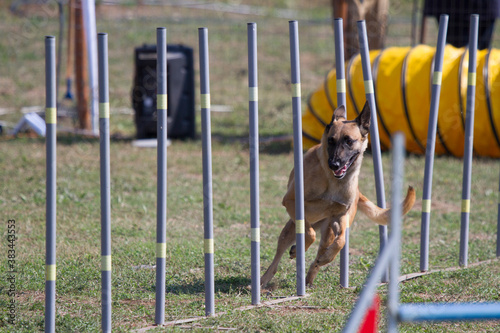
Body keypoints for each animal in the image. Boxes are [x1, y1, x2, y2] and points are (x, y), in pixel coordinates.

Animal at [260, 101, 416, 286]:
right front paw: (299, 249)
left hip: (327, 232)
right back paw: (265, 279)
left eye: (349, 141)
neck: (333, 181)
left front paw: (326, 257)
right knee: (277, 259)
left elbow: (341, 241)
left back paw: (310, 275)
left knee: (320, 252)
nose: (334, 164)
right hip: (289, 230)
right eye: (331, 141)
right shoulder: (292, 202)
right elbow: (309, 233)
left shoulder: (339, 216)